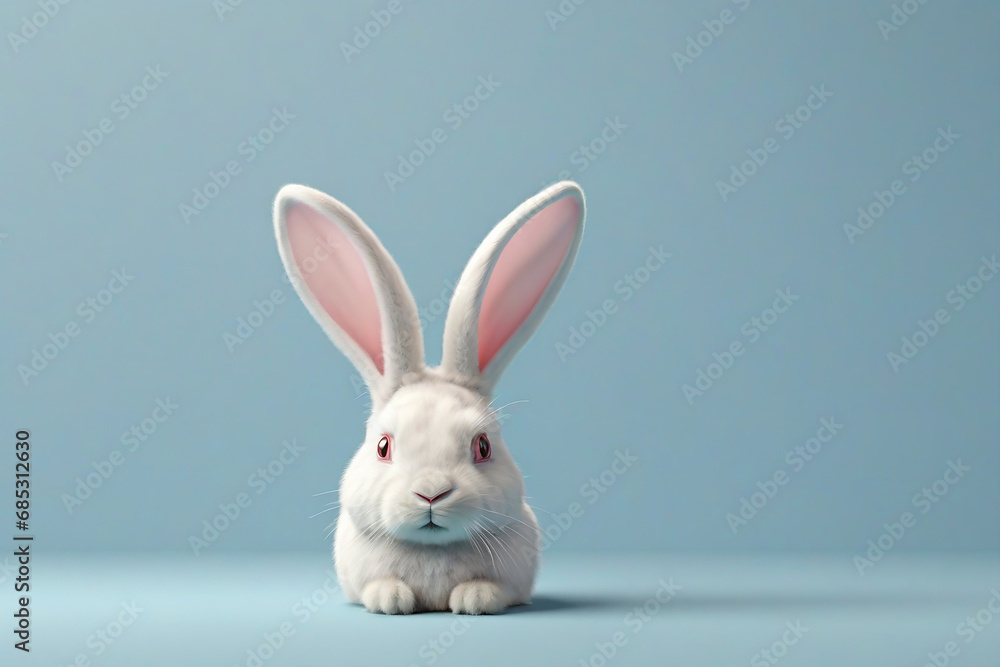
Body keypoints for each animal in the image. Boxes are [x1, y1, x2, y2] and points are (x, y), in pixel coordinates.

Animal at [272, 181, 586, 614]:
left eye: (483, 446)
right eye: (383, 446)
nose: (431, 492)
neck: (433, 550)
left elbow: (496, 589)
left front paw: (475, 597)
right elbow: (377, 587)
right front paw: (390, 598)